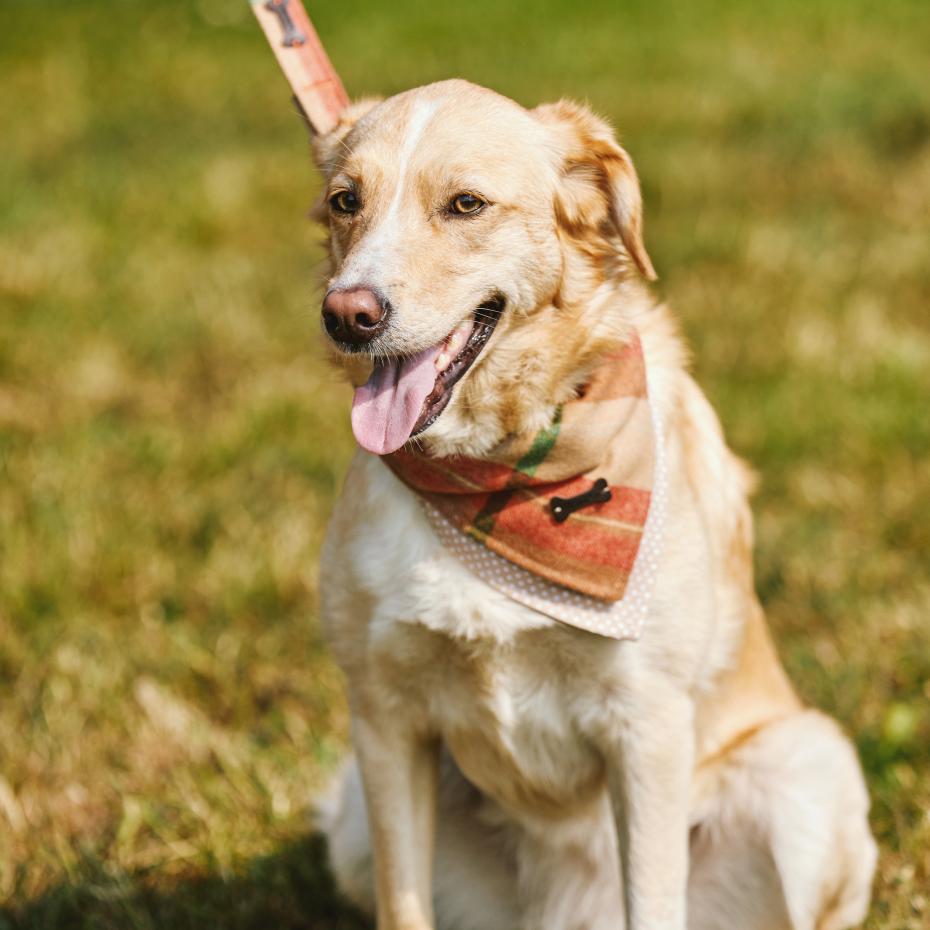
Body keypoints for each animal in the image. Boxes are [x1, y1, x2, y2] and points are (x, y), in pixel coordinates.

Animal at [312, 81, 876, 928]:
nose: (348, 315)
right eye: (346, 201)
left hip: (810, 769)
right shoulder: (382, 720)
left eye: (466, 204)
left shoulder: (646, 726)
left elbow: (655, 897)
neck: (498, 472)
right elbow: (401, 905)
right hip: (352, 816)